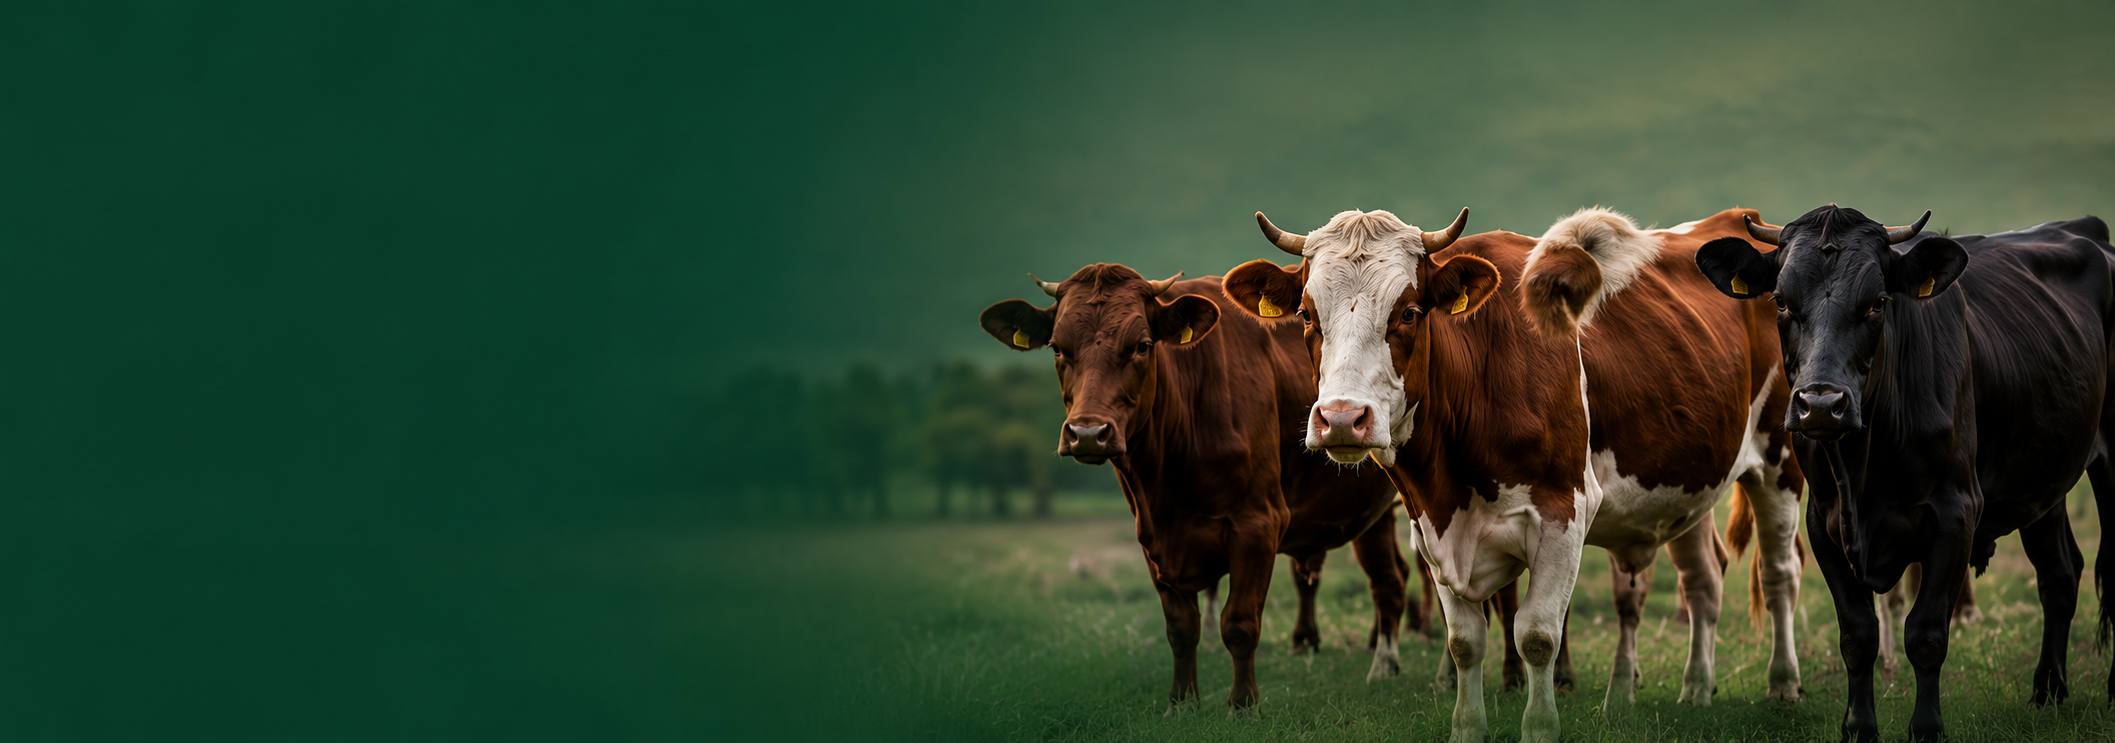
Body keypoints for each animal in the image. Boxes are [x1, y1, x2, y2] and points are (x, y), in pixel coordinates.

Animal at [978, 264, 1429, 716]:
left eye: (1142, 346)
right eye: (1057, 348)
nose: (1088, 433)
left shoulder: (1258, 524)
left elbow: (1239, 624)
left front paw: (1243, 705)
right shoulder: (1154, 538)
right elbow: (1180, 629)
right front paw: (1181, 703)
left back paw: (1393, 668)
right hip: (1371, 511)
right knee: (1391, 578)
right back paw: (1385, 664)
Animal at [1222, 206, 1805, 743]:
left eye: (1408, 312)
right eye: (1305, 314)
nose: (1342, 419)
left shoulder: (1564, 513)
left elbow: (1537, 637)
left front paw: (1540, 727)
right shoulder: (1430, 524)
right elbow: (1464, 642)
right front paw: (1467, 728)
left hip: (1780, 463)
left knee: (1780, 573)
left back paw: (1782, 684)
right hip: (1684, 482)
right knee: (1704, 579)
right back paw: (1692, 689)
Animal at [1696, 206, 2115, 743]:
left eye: (1878, 303)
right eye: (1781, 301)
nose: (1821, 406)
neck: (1864, 467)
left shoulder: (1956, 513)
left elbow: (1926, 634)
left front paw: (1927, 727)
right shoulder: (1824, 522)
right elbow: (1857, 634)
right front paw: (1859, 726)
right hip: (2043, 478)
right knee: (2059, 573)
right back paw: (2048, 692)